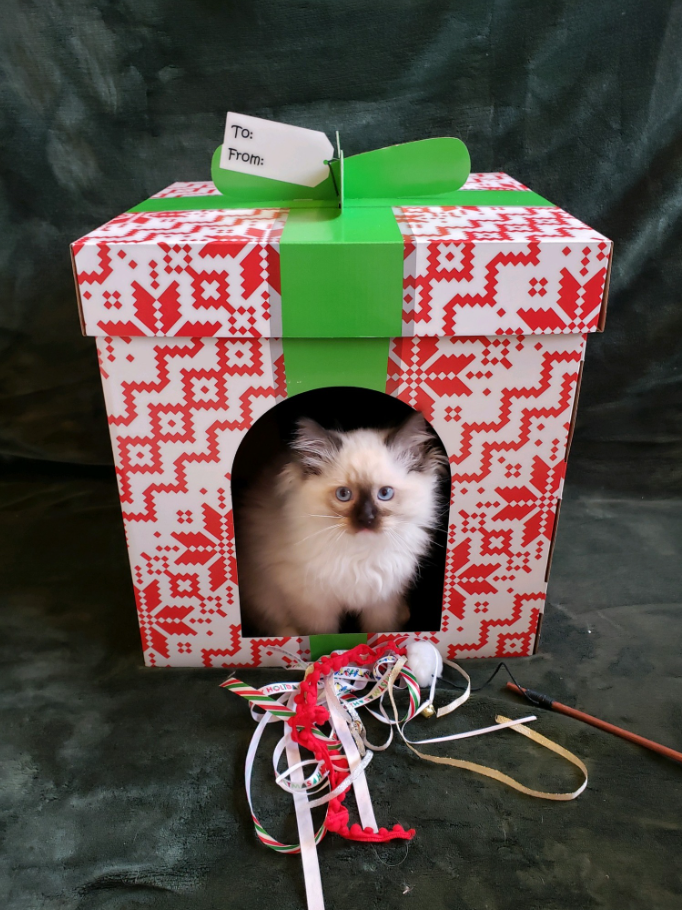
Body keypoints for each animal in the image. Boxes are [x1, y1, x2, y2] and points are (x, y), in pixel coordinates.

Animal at [236, 412, 448, 636]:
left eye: (385, 493)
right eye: (344, 494)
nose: (366, 519)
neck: (361, 555)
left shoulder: (383, 600)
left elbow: (380, 629)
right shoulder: (315, 606)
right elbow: (321, 634)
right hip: (264, 599)